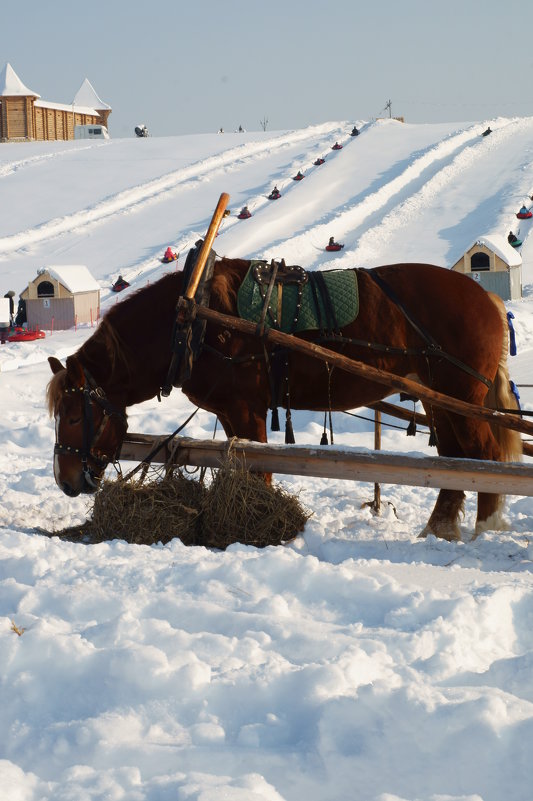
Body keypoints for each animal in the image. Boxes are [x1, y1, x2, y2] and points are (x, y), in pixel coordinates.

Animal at [46, 260, 520, 540]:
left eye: (73, 415)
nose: (65, 481)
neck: (193, 320)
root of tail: (488, 296)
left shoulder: (247, 410)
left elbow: (259, 470)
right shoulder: (234, 414)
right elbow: (243, 464)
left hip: (461, 394)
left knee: (484, 455)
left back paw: (486, 528)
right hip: (441, 401)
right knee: (455, 459)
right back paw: (439, 528)